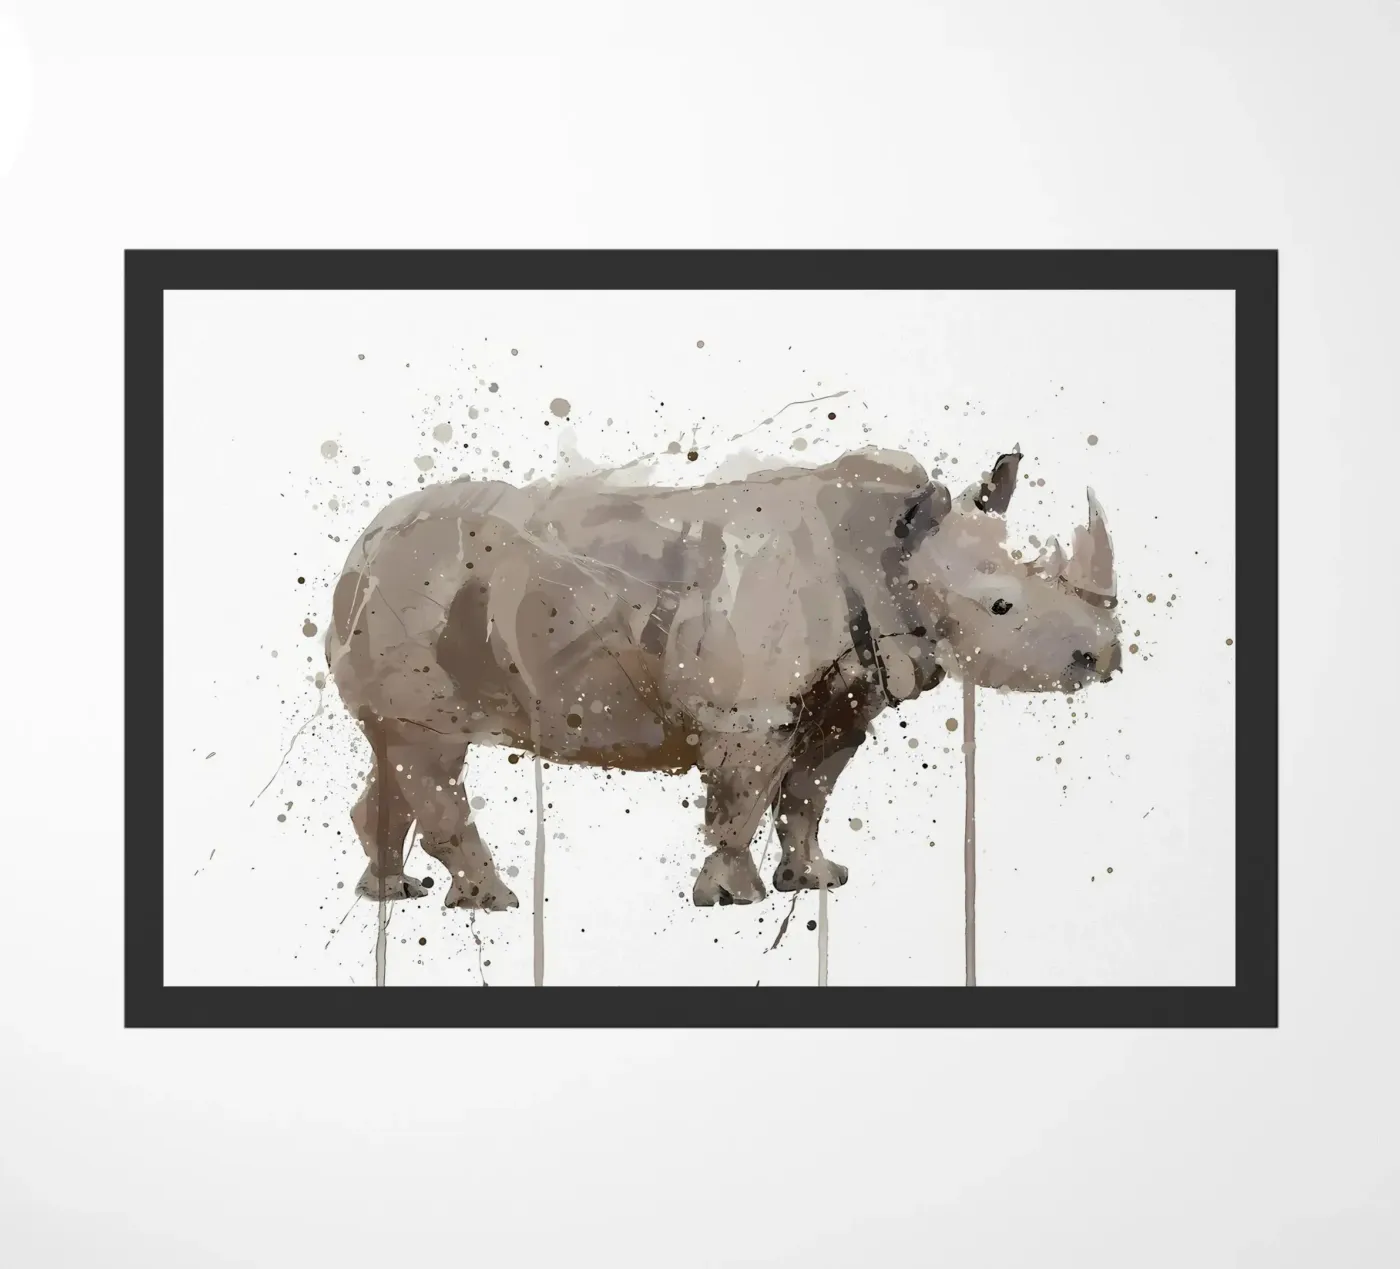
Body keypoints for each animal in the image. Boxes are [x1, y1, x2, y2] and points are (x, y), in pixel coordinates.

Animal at [326, 445, 1121, 910]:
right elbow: (744, 801)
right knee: (432, 754)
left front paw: (816, 878)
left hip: (408, 594)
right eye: (1002, 606)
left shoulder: (845, 700)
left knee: (395, 753)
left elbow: (808, 796)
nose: (1105, 657)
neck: (886, 549)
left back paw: (394, 894)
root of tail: (360, 547)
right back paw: (493, 901)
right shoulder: (751, 711)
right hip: (416, 592)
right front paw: (735, 898)